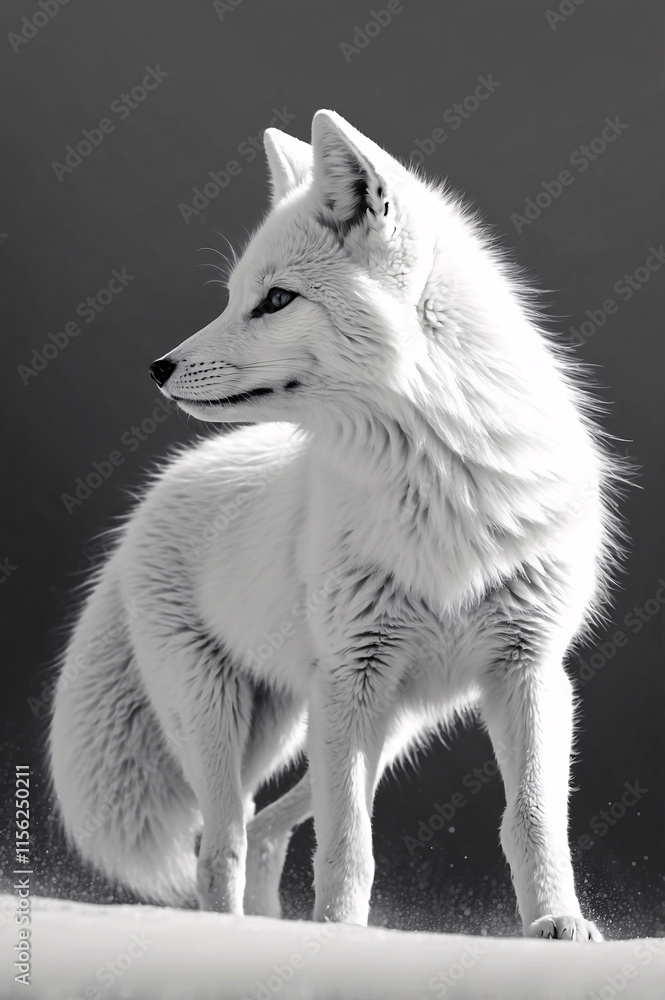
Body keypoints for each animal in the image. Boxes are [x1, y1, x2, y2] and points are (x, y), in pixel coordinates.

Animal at [49, 110, 624, 940]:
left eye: (276, 300)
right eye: (235, 296)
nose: (158, 368)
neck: (440, 482)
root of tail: (151, 499)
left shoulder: (528, 669)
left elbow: (532, 819)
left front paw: (556, 926)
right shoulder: (353, 673)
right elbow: (349, 837)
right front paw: (342, 938)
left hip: (371, 722)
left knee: (266, 826)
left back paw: (268, 923)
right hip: (234, 717)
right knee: (221, 841)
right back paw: (230, 932)